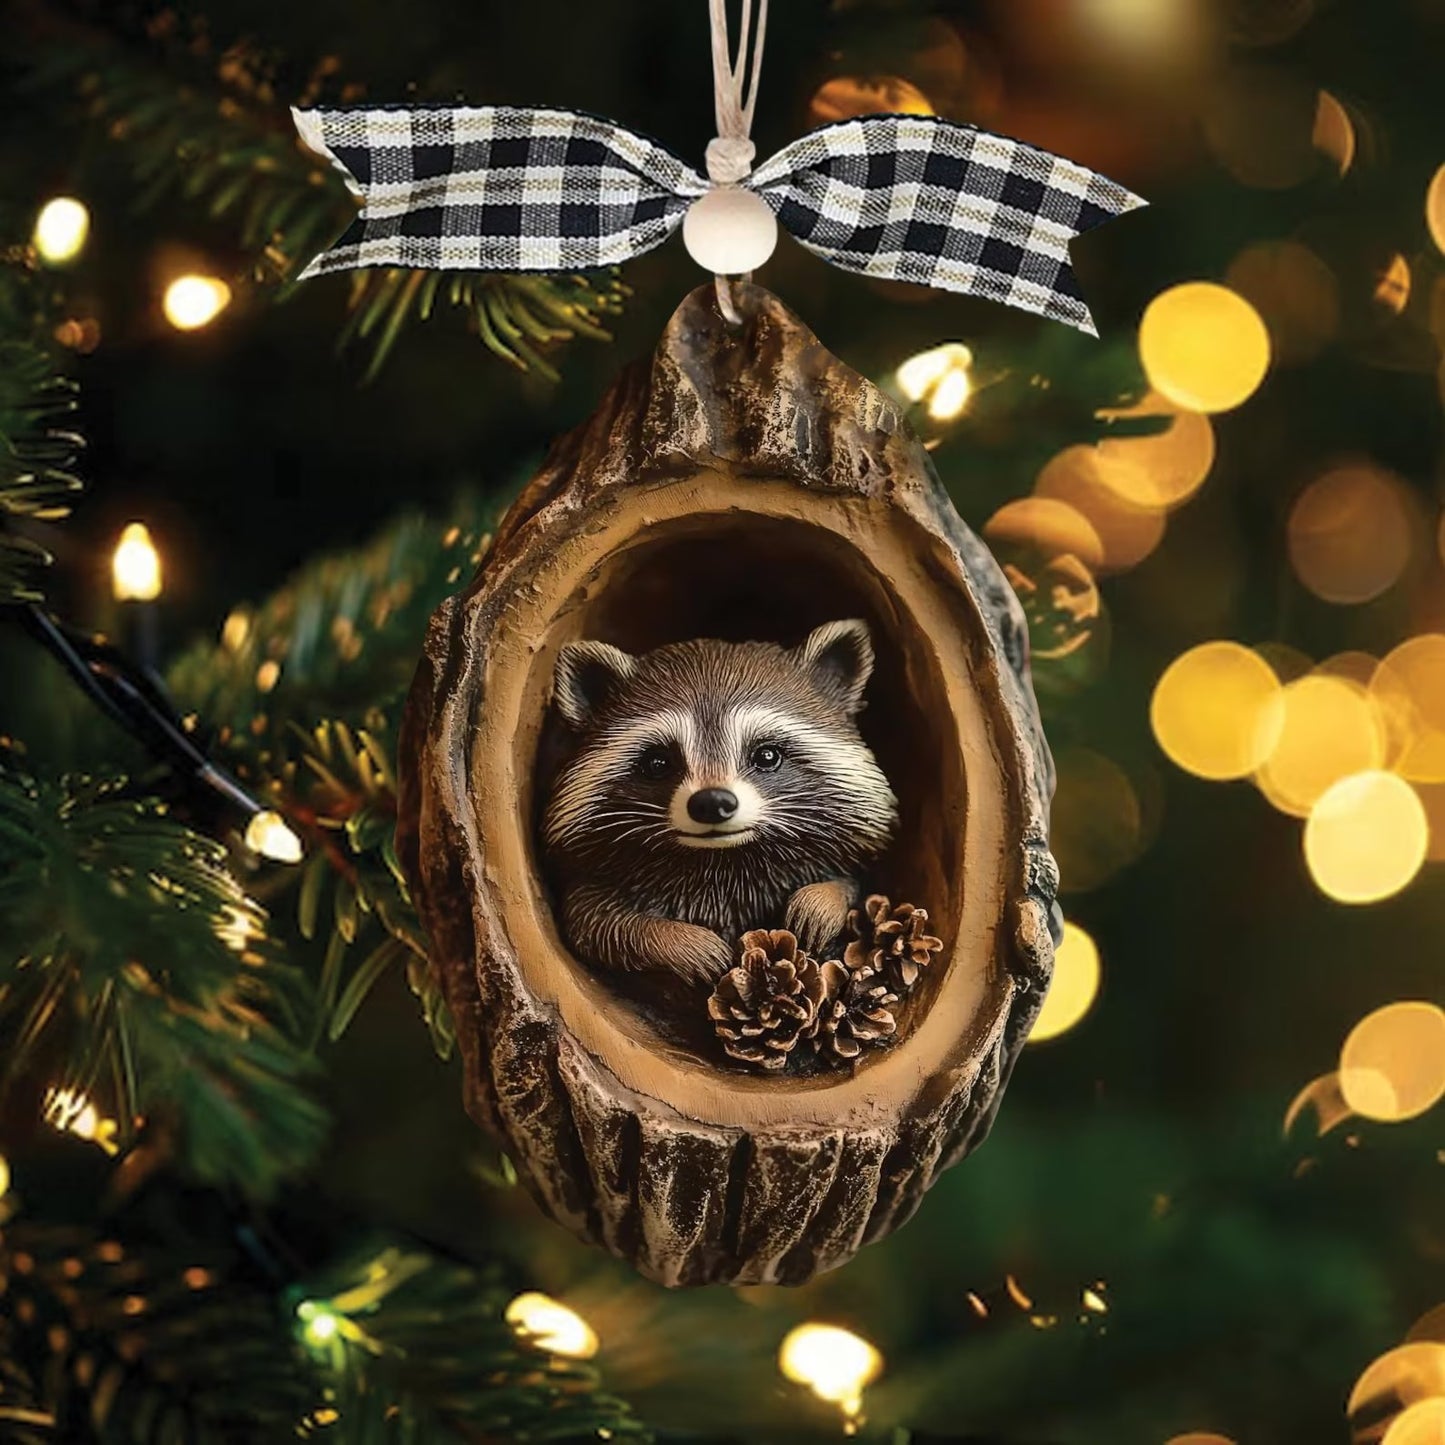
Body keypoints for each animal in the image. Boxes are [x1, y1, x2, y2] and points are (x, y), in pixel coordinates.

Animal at [542, 619, 899, 986]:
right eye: (658, 763)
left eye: (766, 755)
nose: (712, 802)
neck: (722, 861)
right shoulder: (593, 882)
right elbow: (596, 925)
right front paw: (680, 942)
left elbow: (853, 883)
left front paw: (820, 900)